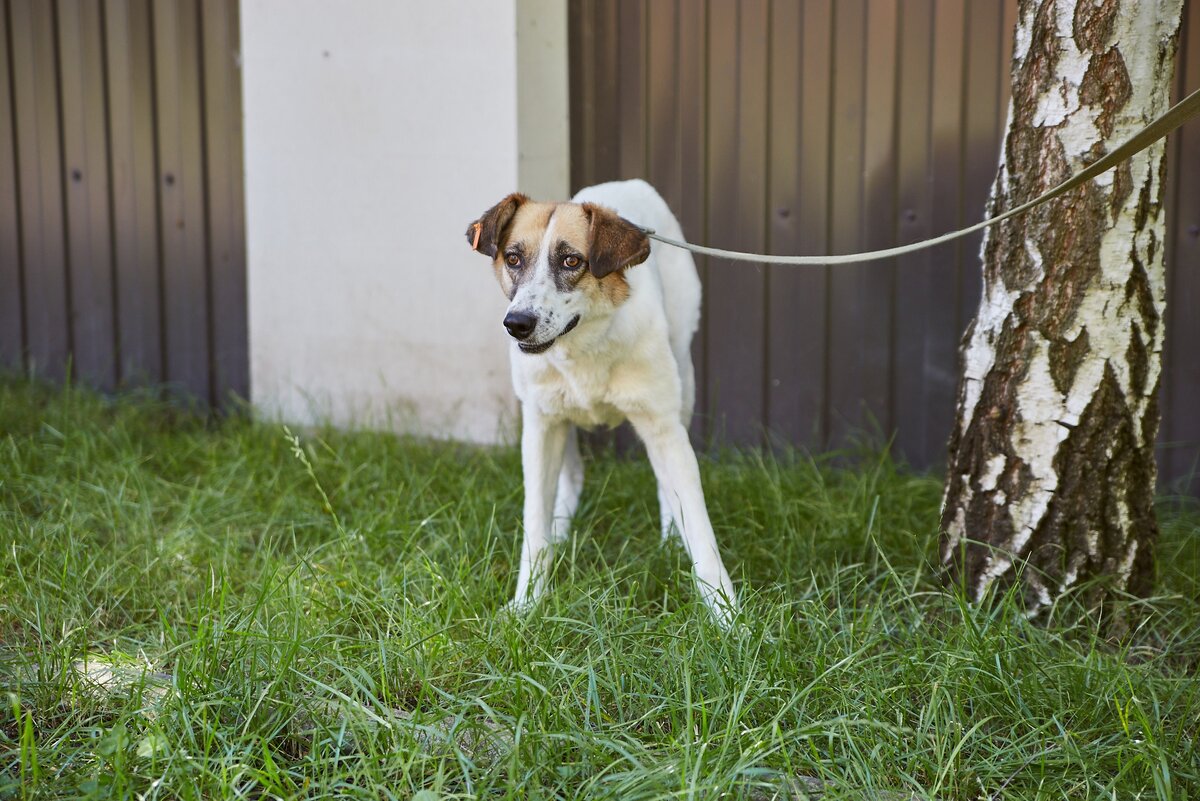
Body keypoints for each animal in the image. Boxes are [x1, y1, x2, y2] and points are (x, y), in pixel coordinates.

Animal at [463, 179, 734, 623]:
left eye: (572, 260)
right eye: (513, 258)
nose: (517, 324)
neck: (583, 345)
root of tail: (630, 183)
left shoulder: (663, 426)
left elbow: (699, 527)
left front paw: (728, 619)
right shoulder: (540, 424)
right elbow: (534, 524)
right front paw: (526, 605)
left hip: (684, 380)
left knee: (667, 485)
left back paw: (669, 543)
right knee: (569, 477)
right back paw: (561, 528)